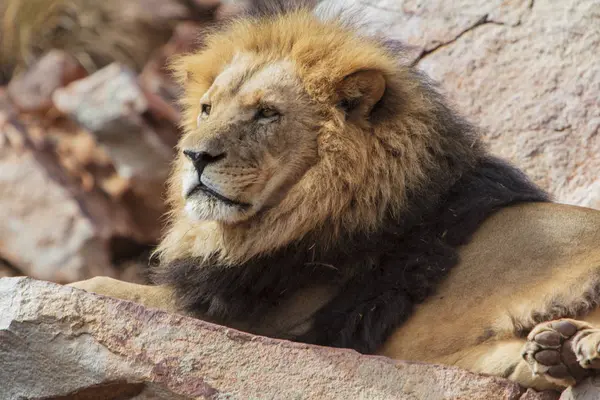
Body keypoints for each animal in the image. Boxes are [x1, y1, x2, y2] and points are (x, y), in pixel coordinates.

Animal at [68, 0, 600, 394]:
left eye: (266, 113)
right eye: (206, 109)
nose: (194, 155)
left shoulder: (266, 324)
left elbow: (107, 287)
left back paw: (576, 348)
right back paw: (556, 352)